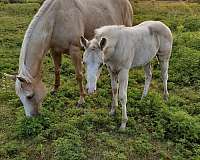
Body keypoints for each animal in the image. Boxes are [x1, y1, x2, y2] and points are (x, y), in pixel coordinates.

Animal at [4, 0, 133, 116]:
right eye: (19, 96)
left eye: (30, 96)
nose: (31, 117)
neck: (56, 19)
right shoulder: (54, 50)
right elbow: (57, 70)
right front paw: (55, 89)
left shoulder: (75, 50)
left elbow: (79, 75)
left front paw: (81, 99)